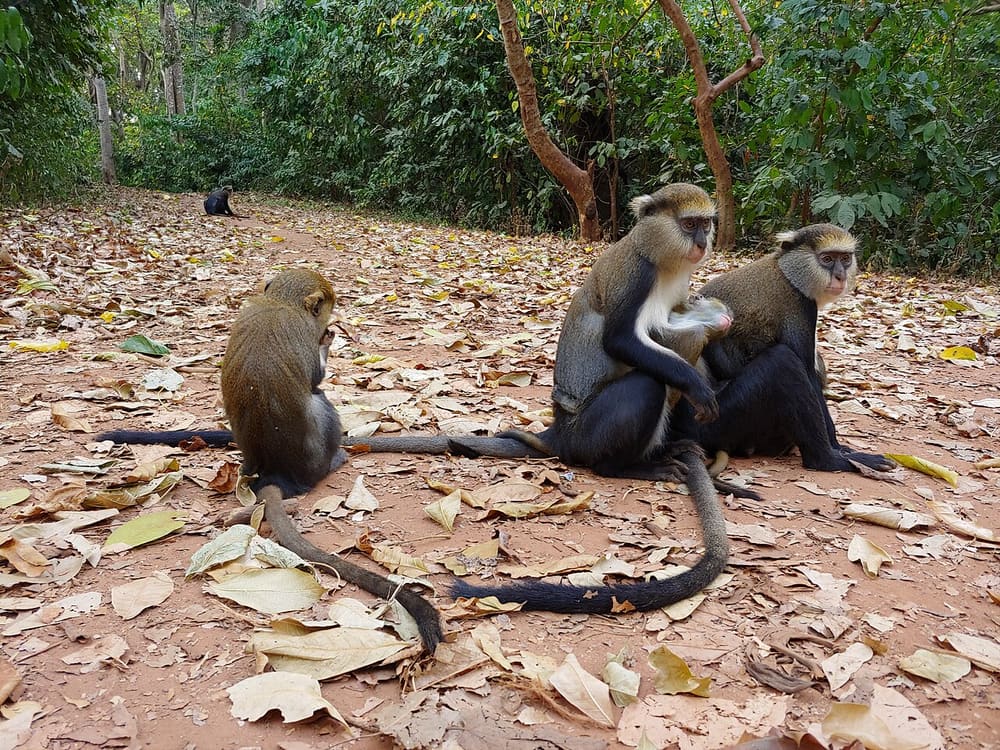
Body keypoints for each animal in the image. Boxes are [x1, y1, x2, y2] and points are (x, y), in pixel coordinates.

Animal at [98, 269, 444, 652]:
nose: (329, 324)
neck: (281, 302)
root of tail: (274, 473)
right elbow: (316, 378)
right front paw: (327, 340)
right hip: (317, 454)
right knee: (320, 399)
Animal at [670, 223, 895, 474]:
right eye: (827, 259)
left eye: (844, 259)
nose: (840, 275)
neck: (788, 273)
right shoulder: (799, 308)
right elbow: (808, 374)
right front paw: (839, 449)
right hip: (714, 421)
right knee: (782, 361)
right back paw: (828, 460)